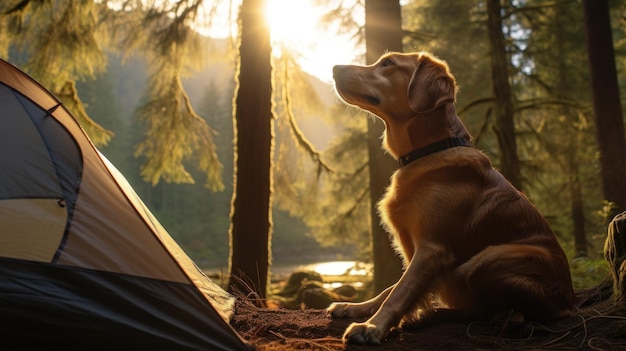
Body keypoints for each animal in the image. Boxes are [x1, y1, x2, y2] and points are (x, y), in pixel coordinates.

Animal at [330, 52, 572, 346]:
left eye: (388, 63)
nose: (334, 67)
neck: (430, 151)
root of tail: (569, 300)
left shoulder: (433, 249)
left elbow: (399, 292)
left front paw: (371, 327)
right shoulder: (415, 250)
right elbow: (392, 288)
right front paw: (357, 307)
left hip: (484, 262)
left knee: (495, 309)